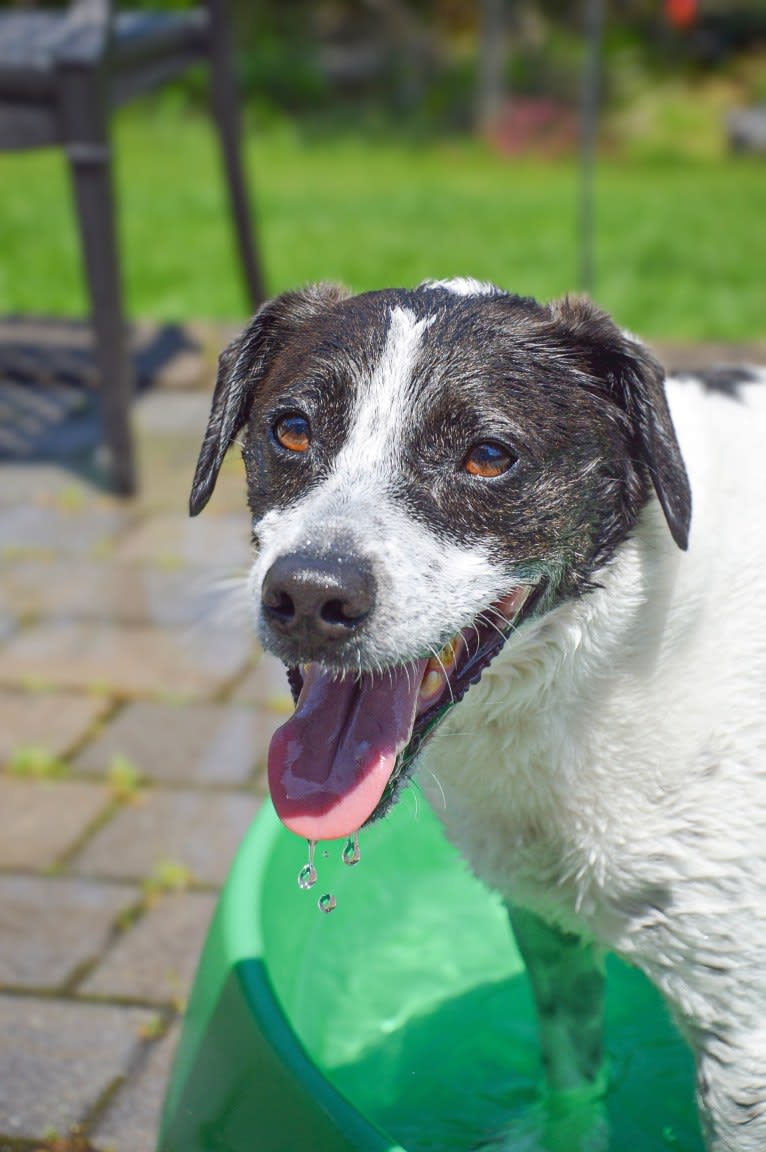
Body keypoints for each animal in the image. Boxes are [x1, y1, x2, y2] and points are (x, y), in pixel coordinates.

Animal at [190, 281, 764, 1152]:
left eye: (489, 456)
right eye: (291, 429)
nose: (311, 596)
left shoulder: (742, 1029)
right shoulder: (546, 925)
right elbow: (571, 1083)